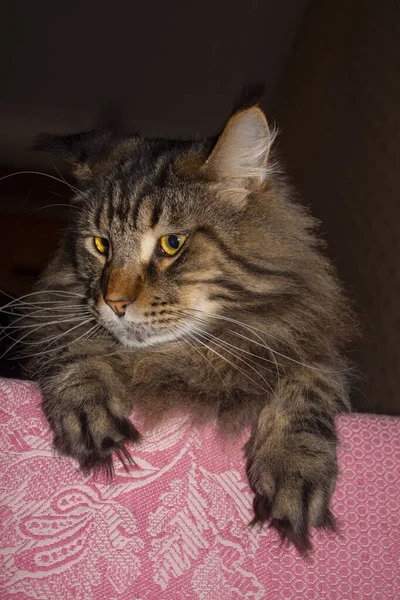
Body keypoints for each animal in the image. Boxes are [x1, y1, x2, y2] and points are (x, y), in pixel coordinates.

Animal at [8, 106, 354, 552]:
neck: (180, 357)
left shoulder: (311, 343)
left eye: (172, 243)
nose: (114, 302)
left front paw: (296, 465)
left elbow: (309, 383)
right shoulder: (50, 312)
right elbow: (75, 346)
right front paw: (88, 402)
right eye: (101, 245)